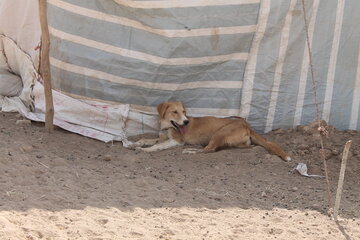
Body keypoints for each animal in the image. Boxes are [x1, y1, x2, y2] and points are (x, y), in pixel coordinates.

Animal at [134, 101, 292, 161]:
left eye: (184, 112)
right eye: (175, 112)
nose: (186, 122)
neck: (168, 126)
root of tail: (246, 125)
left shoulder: (177, 141)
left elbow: (157, 146)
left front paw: (146, 150)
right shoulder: (163, 137)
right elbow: (146, 139)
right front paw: (137, 143)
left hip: (219, 133)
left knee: (209, 150)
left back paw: (190, 151)